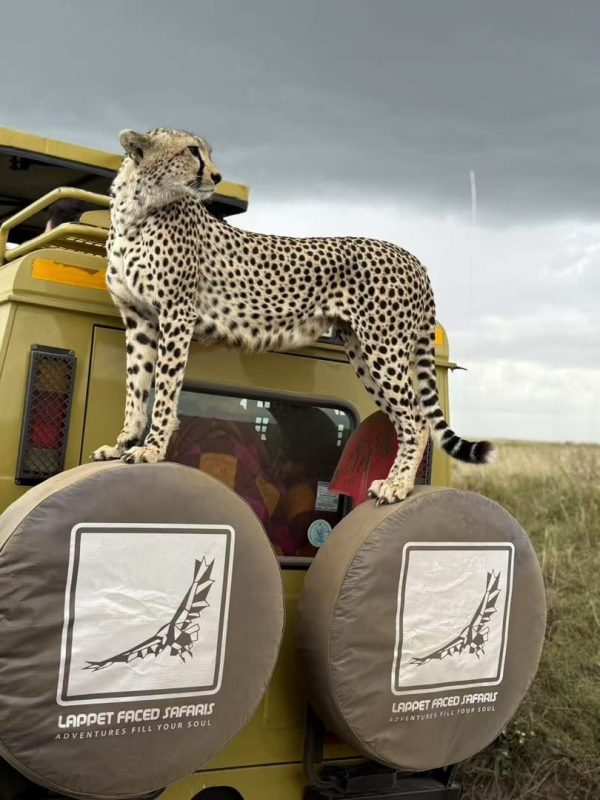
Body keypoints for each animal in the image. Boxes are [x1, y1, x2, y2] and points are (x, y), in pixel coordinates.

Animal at [92, 127, 493, 504]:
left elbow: (164, 390)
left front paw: (151, 449)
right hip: (364, 355)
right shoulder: (139, 320)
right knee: (405, 417)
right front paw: (122, 444)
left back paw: (397, 486)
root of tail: (413, 259)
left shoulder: (176, 315)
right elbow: (136, 387)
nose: (218, 176)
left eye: (205, 151)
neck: (137, 209)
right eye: (192, 150)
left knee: (417, 420)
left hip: (385, 350)